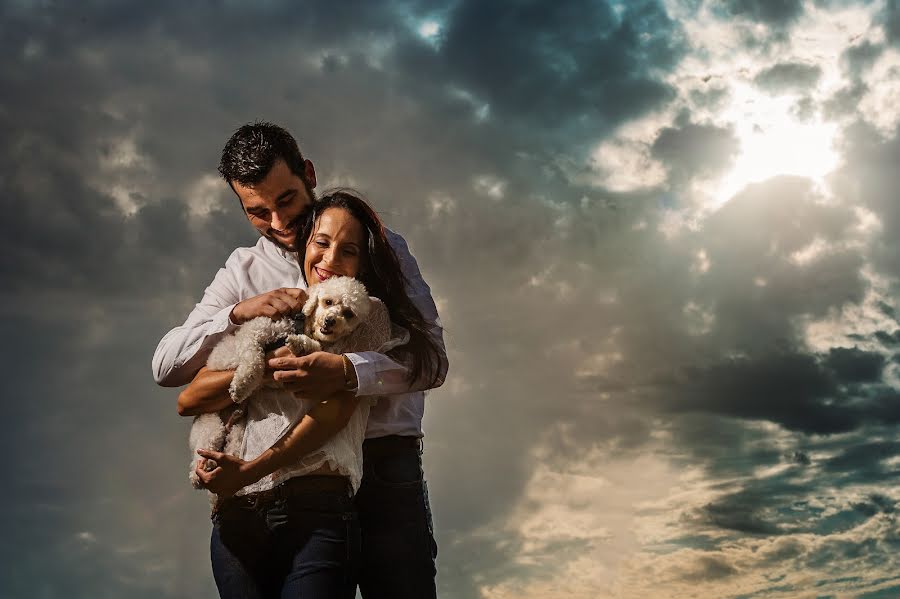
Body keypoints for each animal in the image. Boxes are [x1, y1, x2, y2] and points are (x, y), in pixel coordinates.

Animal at [188, 276, 374, 492]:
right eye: (328, 302)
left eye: (348, 313)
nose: (330, 321)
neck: (302, 325)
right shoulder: (254, 332)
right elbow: (254, 360)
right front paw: (241, 386)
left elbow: (311, 347)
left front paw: (299, 344)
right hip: (210, 427)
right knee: (199, 458)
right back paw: (199, 472)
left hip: (237, 432)